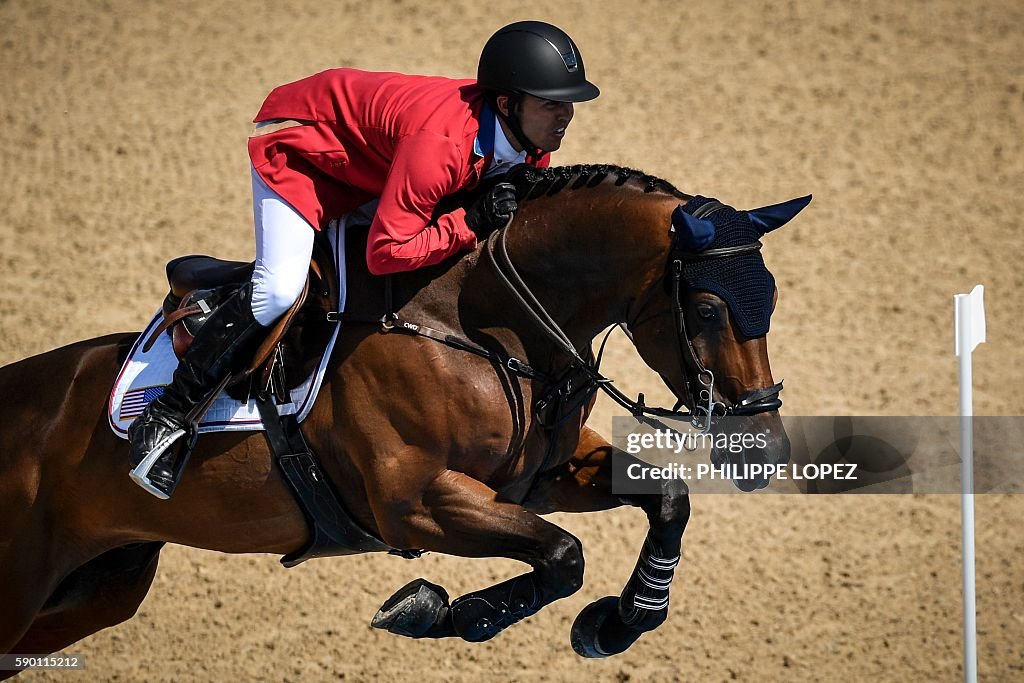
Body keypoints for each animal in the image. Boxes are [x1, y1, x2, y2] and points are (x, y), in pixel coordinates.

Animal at [0, 163, 806, 671]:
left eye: (771, 298)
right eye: (709, 309)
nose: (762, 448)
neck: (481, 324)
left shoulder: (543, 477)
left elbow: (665, 501)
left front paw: (619, 622)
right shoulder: (415, 503)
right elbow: (562, 555)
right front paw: (434, 610)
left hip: (95, 588)